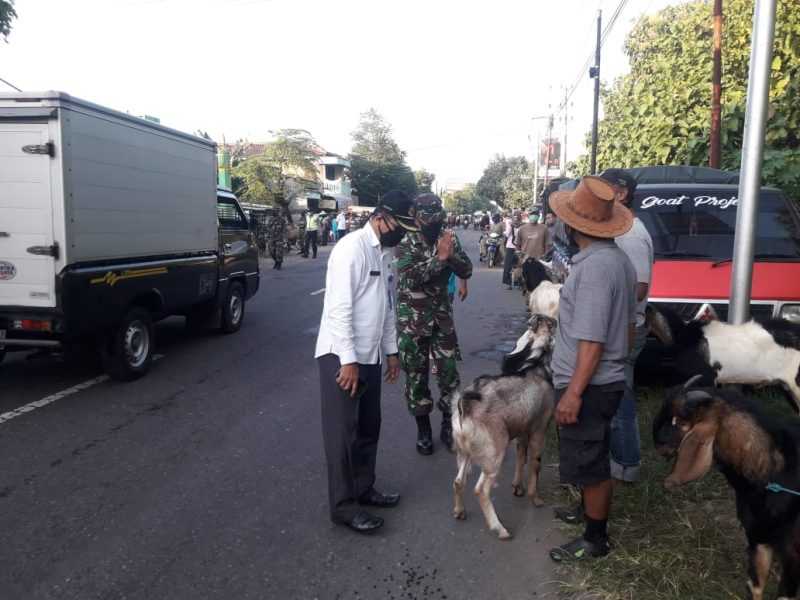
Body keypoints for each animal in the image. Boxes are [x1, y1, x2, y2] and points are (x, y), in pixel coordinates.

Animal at [450, 314, 556, 540]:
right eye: (550, 326)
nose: (552, 320)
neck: (535, 368)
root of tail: (465, 407)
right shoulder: (539, 430)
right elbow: (535, 463)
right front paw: (535, 499)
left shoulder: (522, 432)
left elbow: (521, 457)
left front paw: (517, 487)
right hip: (494, 455)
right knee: (481, 490)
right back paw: (500, 528)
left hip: (465, 452)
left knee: (458, 481)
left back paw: (459, 511)